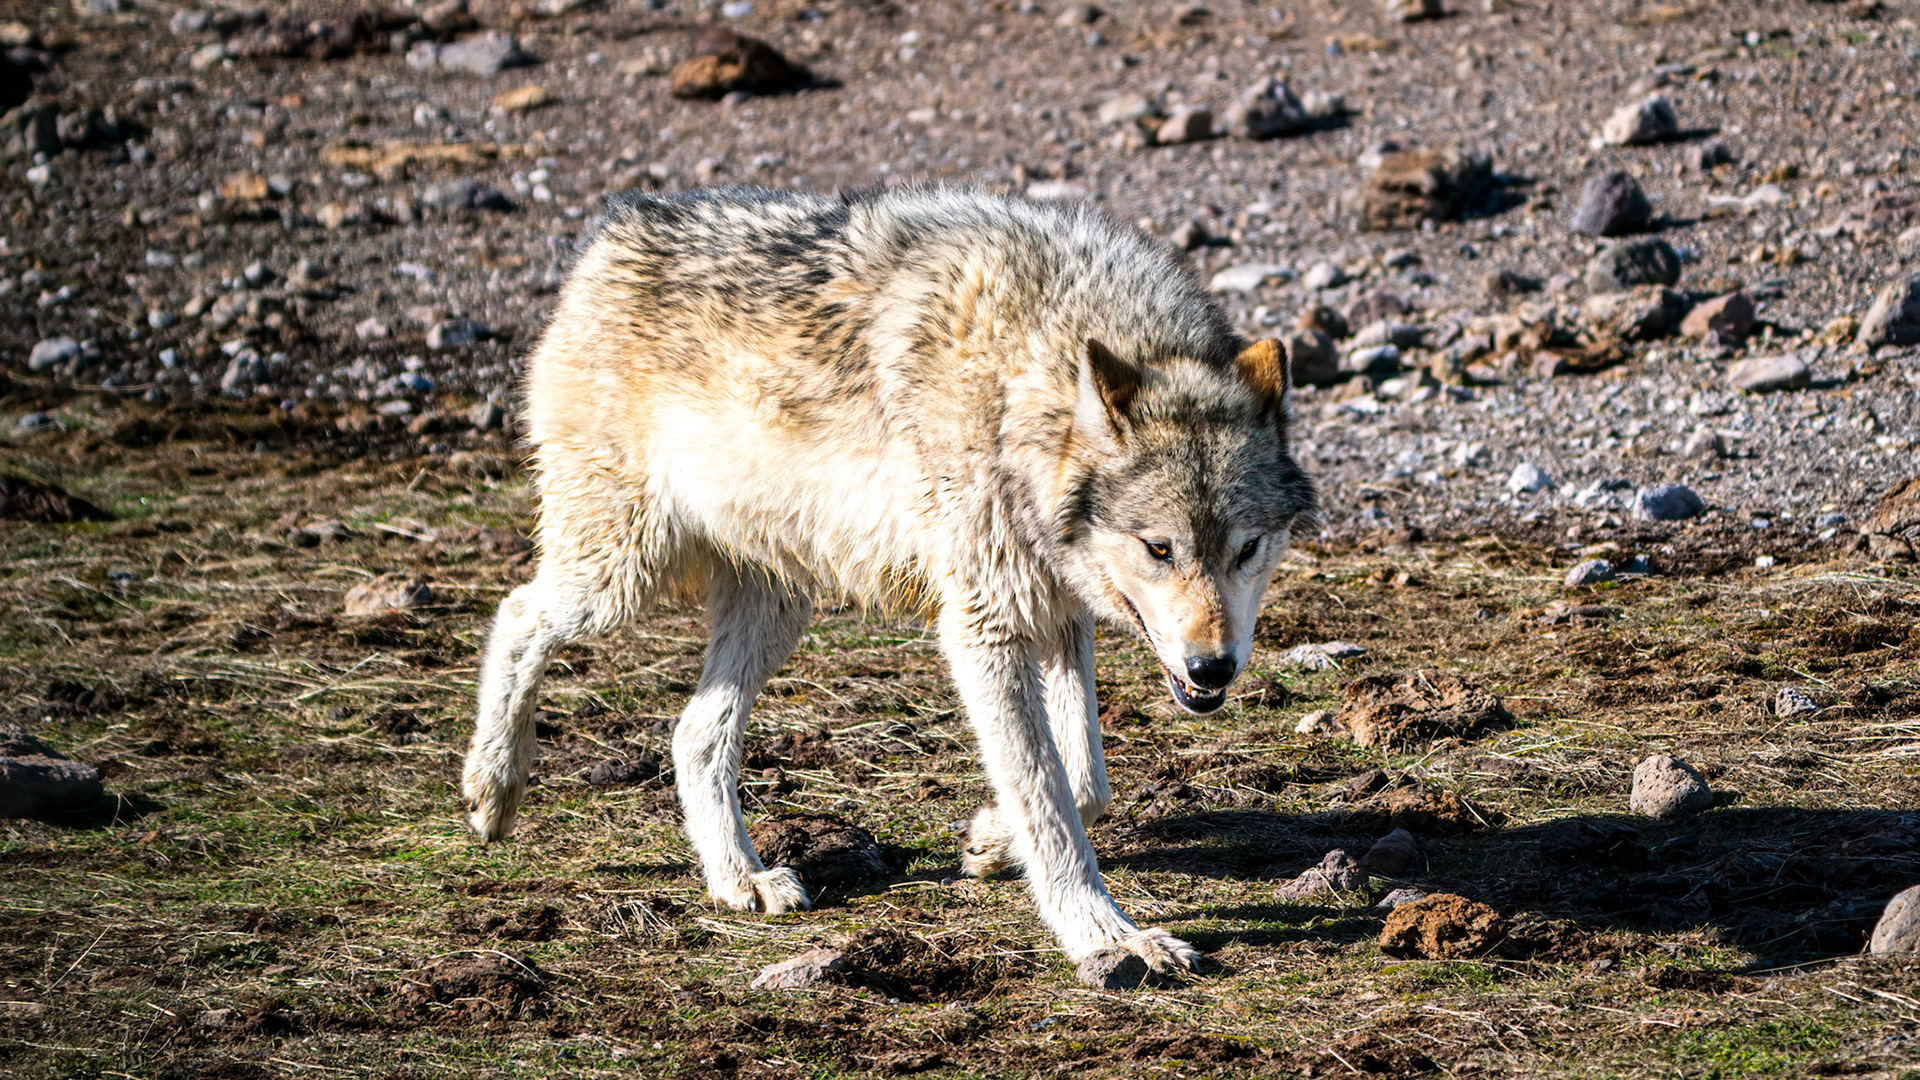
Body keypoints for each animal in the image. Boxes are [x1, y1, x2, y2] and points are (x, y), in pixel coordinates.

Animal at [459, 185, 1318, 977]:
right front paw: (1107, 936)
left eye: (1246, 549)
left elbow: (1083, 783)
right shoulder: (983, 625)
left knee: (692, 734)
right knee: (517, 613)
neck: (1023, 380)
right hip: (623, 575)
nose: (1214, 668)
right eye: (1160, 549)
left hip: (776, 605)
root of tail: (613, 234)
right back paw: (493, 790)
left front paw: (990, 840)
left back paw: (740, 880)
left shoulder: (1053, 612)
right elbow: (1048, 800)